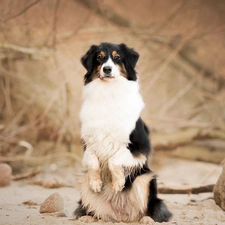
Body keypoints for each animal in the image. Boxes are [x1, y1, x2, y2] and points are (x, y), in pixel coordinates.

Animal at [73, 42, 171, 223]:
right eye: (99, 57)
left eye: (117, 57)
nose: (107, 69)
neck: (108, 93)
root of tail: (120, 215)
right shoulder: (88, 143)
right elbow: (92, 160)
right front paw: (96, 182)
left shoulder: (140, 148)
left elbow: (115, 158)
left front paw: (118, 183)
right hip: (83, 183)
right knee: (96, 212)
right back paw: (87, 218)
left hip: (145, 179)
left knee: (150, 210)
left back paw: (147, 219)